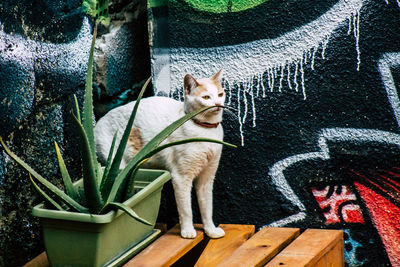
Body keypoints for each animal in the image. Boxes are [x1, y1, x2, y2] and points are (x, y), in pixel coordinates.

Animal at [92, 70, 227, 240]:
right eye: (206, 97)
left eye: (220, 94)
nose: (218, 104)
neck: (204, 130)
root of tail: (99, 122)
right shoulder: (181, 177)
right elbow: (186, 209)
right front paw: (187, 231)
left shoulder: (207, 177)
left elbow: (207, 207)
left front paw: (210, 230)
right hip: (117, 166)